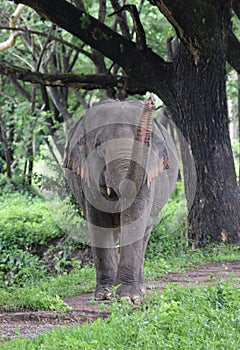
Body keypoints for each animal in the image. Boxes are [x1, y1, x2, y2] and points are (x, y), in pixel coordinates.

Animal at [63, 97, 178, 302]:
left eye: (148, 145)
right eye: (99, 147)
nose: (150, 101)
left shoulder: (148, 175)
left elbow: (135, 216)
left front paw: (128, 298)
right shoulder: (88, 178)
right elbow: (98, 221)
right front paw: (105, 294)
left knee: (145, 232)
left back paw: (140, 288)